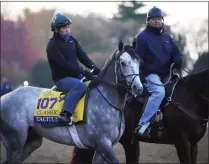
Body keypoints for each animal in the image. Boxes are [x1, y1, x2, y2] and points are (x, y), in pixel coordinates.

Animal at [0, 40, 144, 163]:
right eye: (123, 63)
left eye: (138, 61)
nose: (138, 88)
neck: (106, 102)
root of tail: (4, 98)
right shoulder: (103, 144)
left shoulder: (104, 147)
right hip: (15, 141)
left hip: (32, 141)